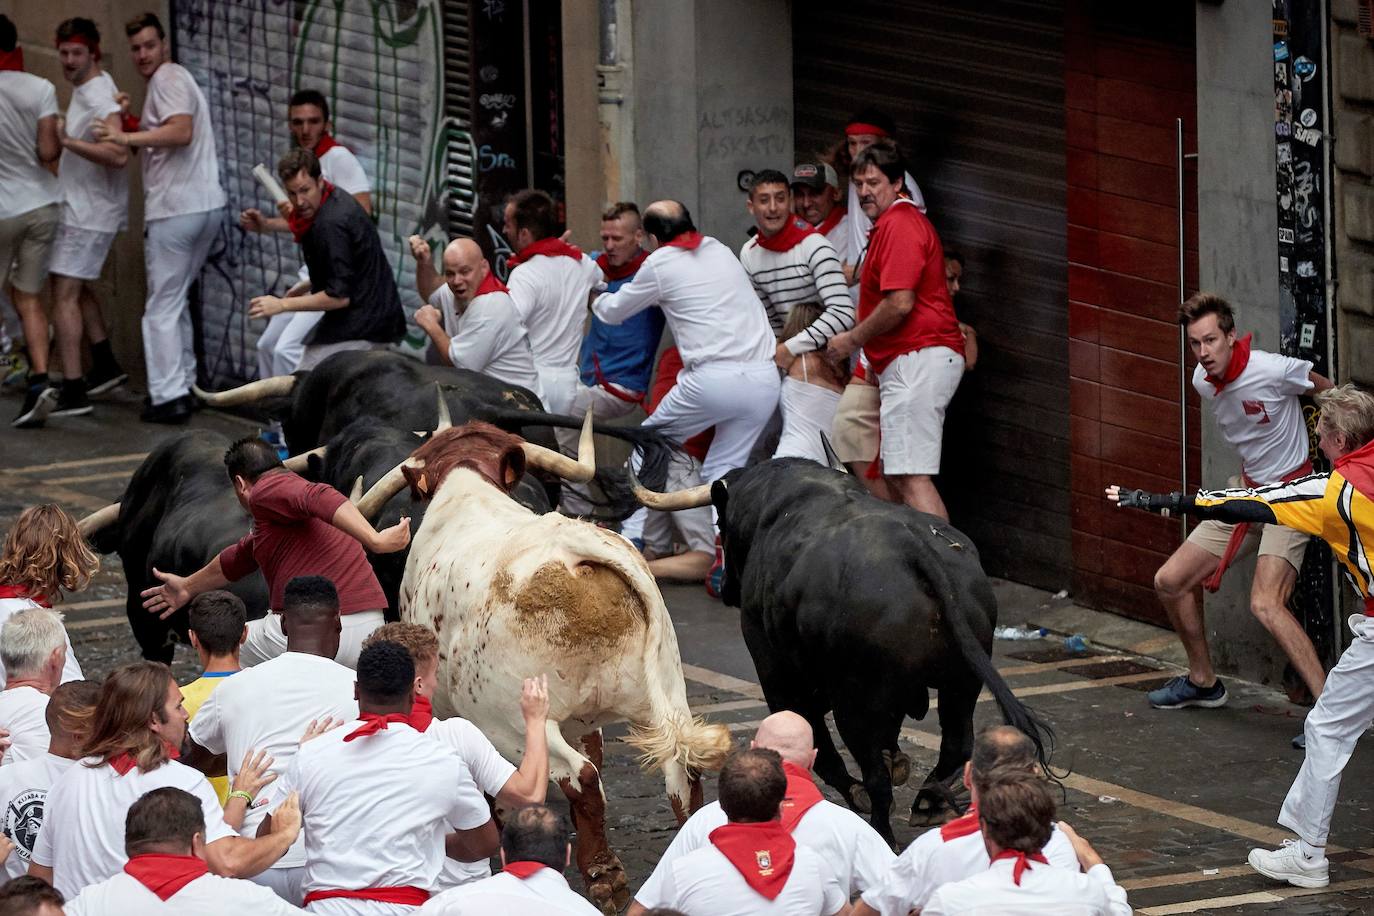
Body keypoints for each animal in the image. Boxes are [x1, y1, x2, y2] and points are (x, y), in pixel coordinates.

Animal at [357, 417, 741, 911]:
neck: (466, 486)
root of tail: (573, 545)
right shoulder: (583, 721)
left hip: (514, 723)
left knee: (580, 777)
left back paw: (603, 877)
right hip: (664, 700)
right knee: (680, 777)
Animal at [629, 458, 1049, 845]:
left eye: (720, 525)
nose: (728, 587)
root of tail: (911, 544)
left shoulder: (775, 671)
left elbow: (818, 742)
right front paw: (898, 762)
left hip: (854, 698)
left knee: (873, 772)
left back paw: (883, 830)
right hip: (960, 683)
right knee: (955, 742)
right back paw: (928, 802)